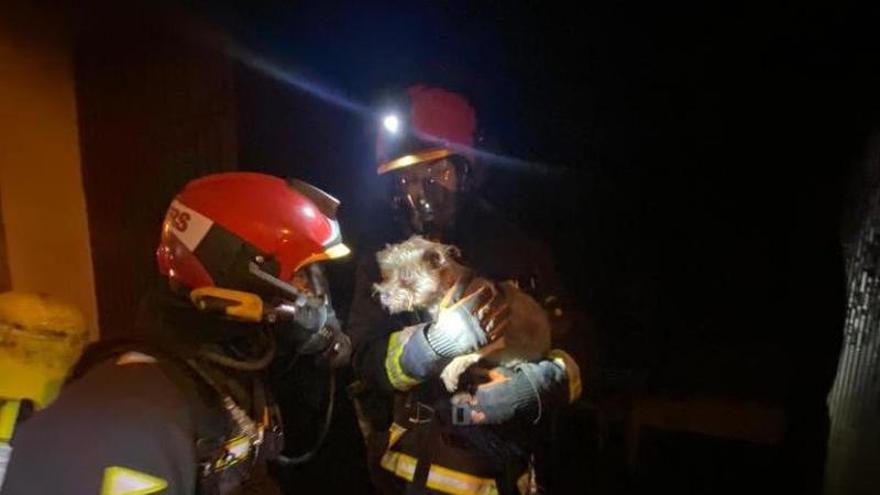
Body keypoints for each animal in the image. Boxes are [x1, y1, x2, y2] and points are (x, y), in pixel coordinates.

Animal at [372, 234, 552, 394]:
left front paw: (451, 370)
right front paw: (406, 333)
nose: (383, 296)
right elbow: (427, 325)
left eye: (406, 278)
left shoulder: (495, 332)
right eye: (386, 276)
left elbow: (471, 353)